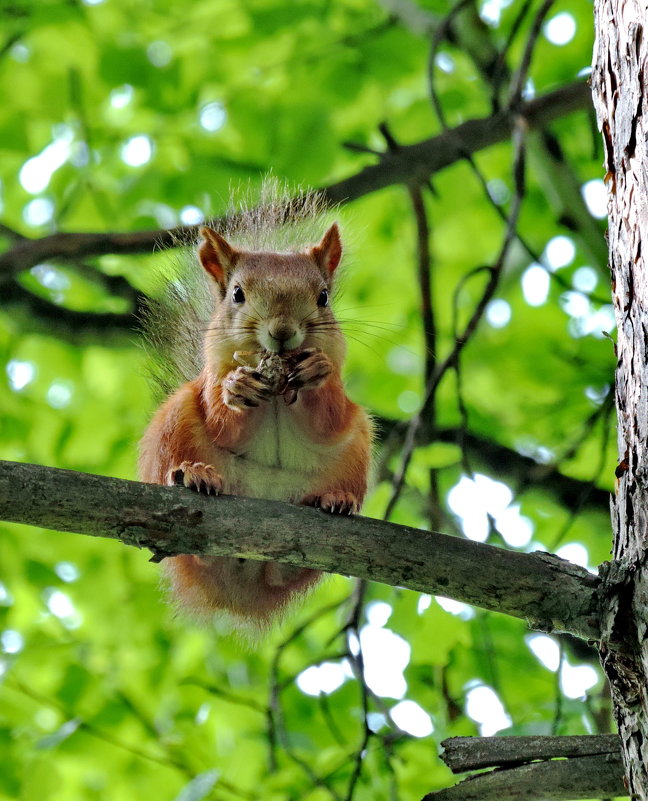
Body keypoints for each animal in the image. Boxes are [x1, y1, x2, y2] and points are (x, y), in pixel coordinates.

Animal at [139, 195, 372, 632]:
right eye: (237, 294)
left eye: (323, 297)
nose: (282, 332)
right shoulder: (210, 378)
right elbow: (221, 419)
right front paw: (237, 390)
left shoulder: (340, 404)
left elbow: (329, 419)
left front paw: (317, 372)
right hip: (174, 424)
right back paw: (193, 474)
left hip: (357, 448)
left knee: (289, 570)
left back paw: (335, 499)